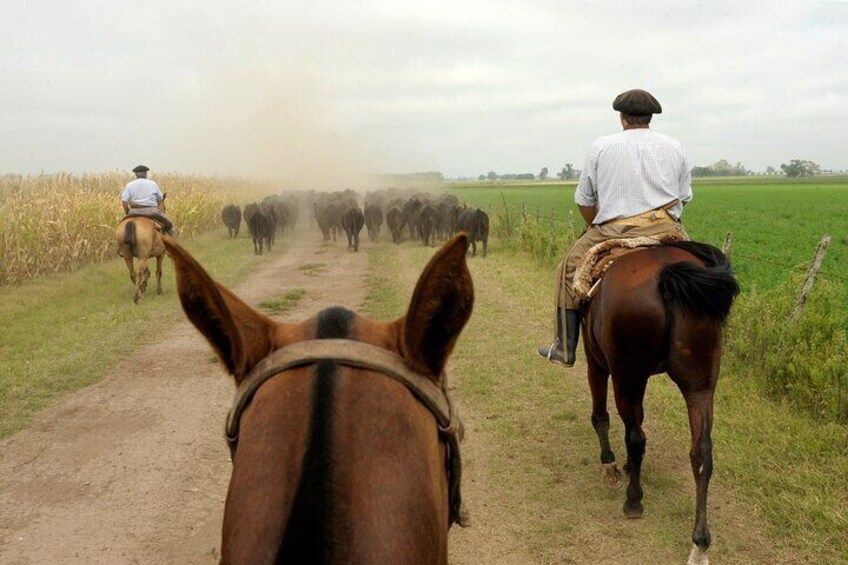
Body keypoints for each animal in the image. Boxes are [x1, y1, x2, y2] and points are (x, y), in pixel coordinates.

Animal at [588, 239, 740, 564]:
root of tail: (667, 273)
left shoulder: (597, 364)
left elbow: (602, 417)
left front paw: (610, 465)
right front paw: (628, 466)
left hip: (626, 375)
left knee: (635, 436)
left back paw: (633, 501)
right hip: (699, 385)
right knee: (702, 452)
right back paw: (699, 544)